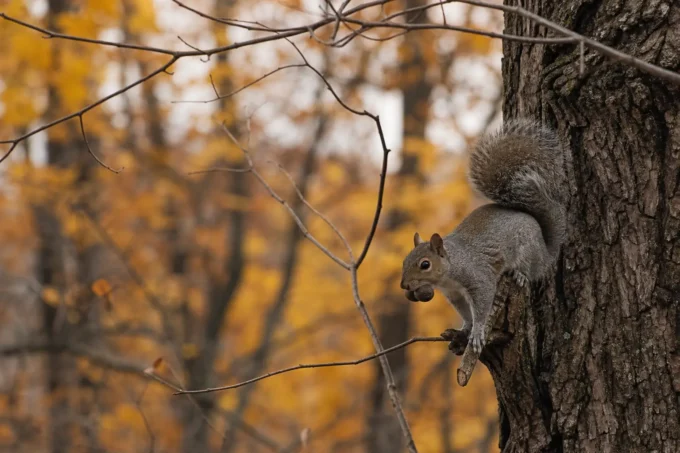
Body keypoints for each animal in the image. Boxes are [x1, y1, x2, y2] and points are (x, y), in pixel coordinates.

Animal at [400, 119, 567, 353]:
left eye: (425, 264)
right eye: (405, 261)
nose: (404, 285)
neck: (450, 272)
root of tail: (546, 249)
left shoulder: (478, 278)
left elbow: (482, 305)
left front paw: (478, 332)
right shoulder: (454, 294)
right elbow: (465, 313)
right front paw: (465, 327)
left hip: (528, 250)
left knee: (531, 270)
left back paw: (521, 274)